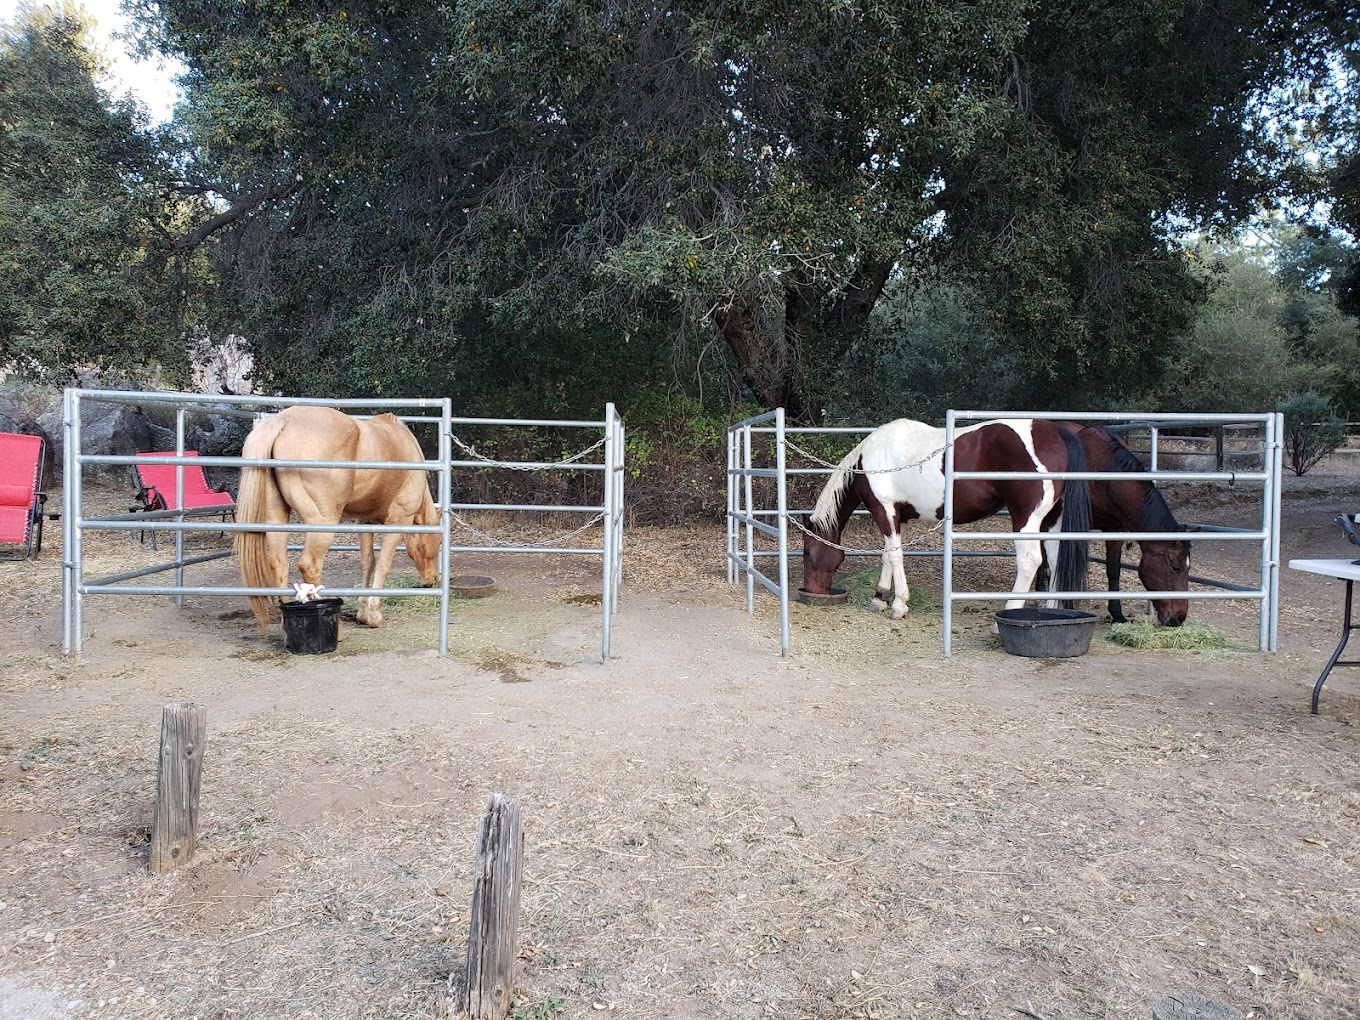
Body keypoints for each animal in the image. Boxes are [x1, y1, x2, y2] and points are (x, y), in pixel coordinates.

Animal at [234, 405, 441, 631]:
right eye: (438, 543)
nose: (430, 580)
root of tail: (283, 420)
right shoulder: (399, 521)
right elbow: (383, 564)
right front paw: (374, 615)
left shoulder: (364, 522)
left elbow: (367, 562)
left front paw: (363, 614)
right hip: (323, 523)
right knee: (310, 565)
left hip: (276, 519)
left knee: (279, 563)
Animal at [801, 418, 1090, 621]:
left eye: (807, 551)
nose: (812, 590)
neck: (871, 458)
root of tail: (1056, 432)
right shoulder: (897, 516)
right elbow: (888, 555)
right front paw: (880, 597)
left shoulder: (884, 510)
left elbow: (895, 556)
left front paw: (899, 605)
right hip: (1051, 520)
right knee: (1056, 558)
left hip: (1025, 520)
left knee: (1030, 562)